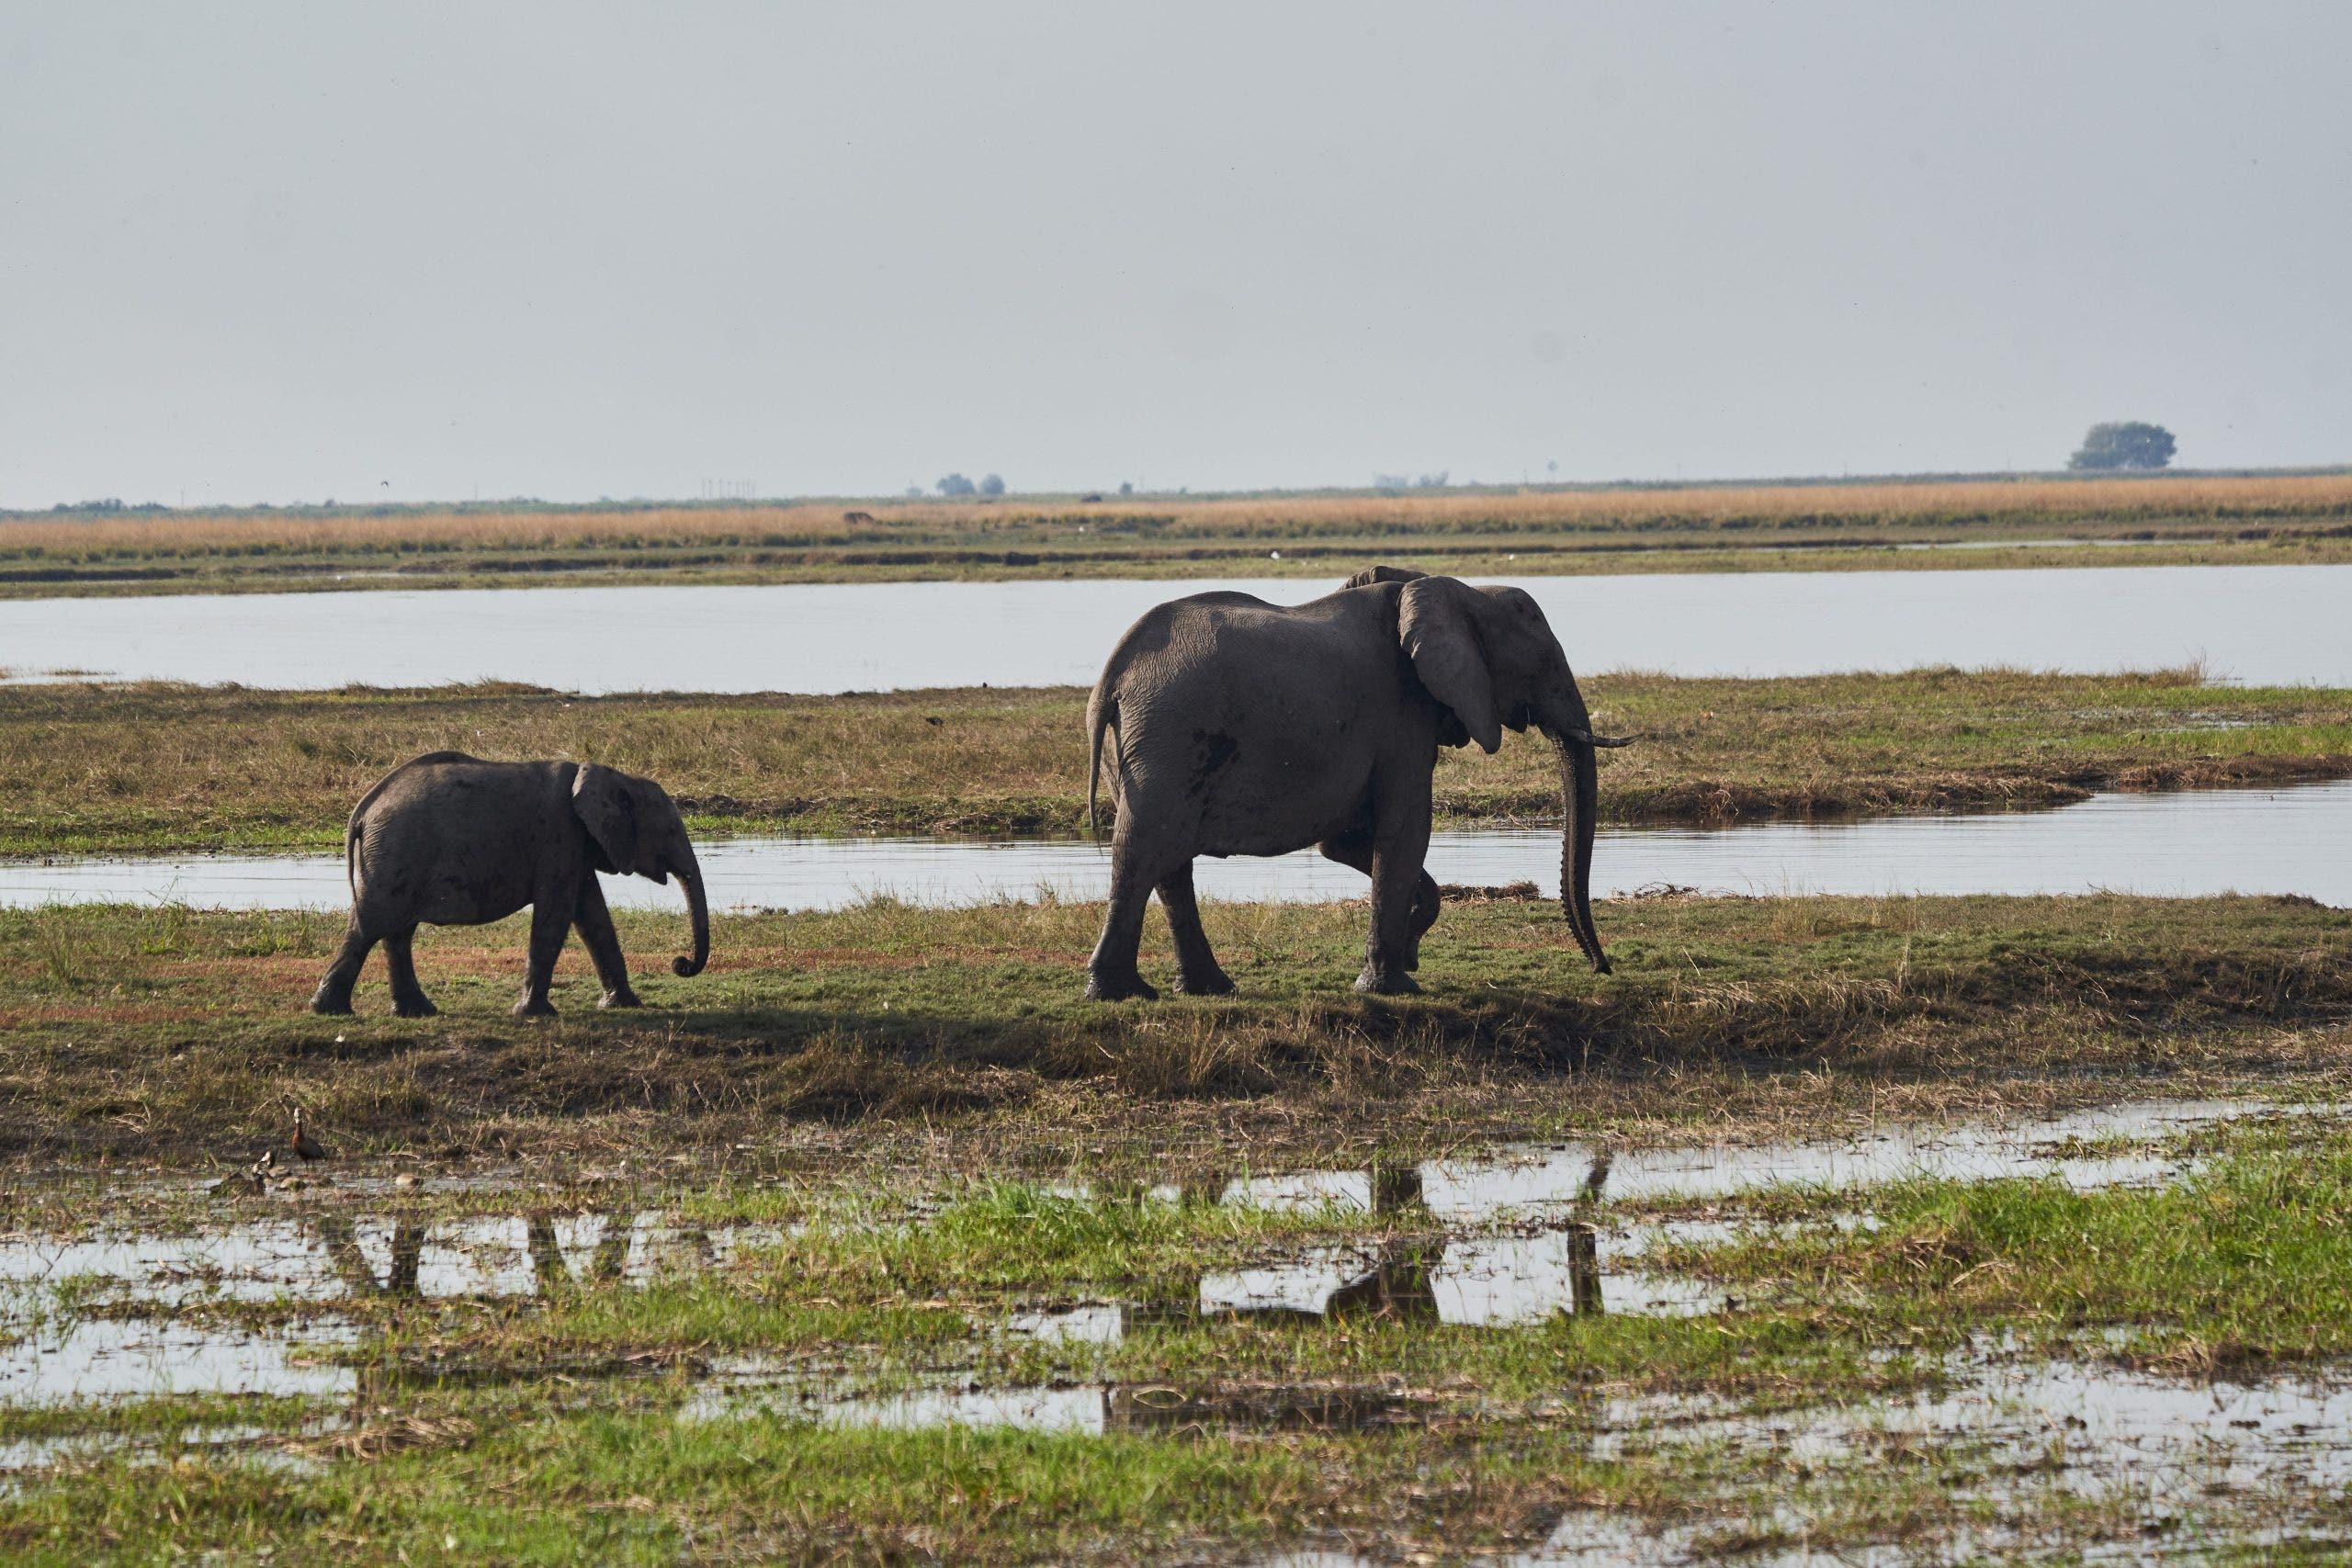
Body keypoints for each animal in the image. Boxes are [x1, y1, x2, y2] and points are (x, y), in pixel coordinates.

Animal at [308, 752, 710, 1019]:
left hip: (393, 856)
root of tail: (363, 809)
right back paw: (330, 1012)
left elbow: (592, 916)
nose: (680, 963)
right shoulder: (560, 836)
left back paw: (416, 1012)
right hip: (395, 852)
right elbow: (556, 914)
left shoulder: (576, 844)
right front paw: (535, 1015)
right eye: (671, 830)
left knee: (395, 932)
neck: (613, 775)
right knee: (371, 925)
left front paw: (624, 1005)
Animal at [1081, 565, 1631, 1000]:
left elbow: (1344, 844)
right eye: (1543, 662)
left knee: (1168, 861)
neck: (1456, 591)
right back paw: (1119, 994)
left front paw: (1408, 951)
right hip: (1168, 736)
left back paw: (1206, 988)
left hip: (1139, 747)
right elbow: (1405, 830)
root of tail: (1114, 676)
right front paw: (1394, 986)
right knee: (1145, 848)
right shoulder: (1401, 715)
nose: (1601, 968)